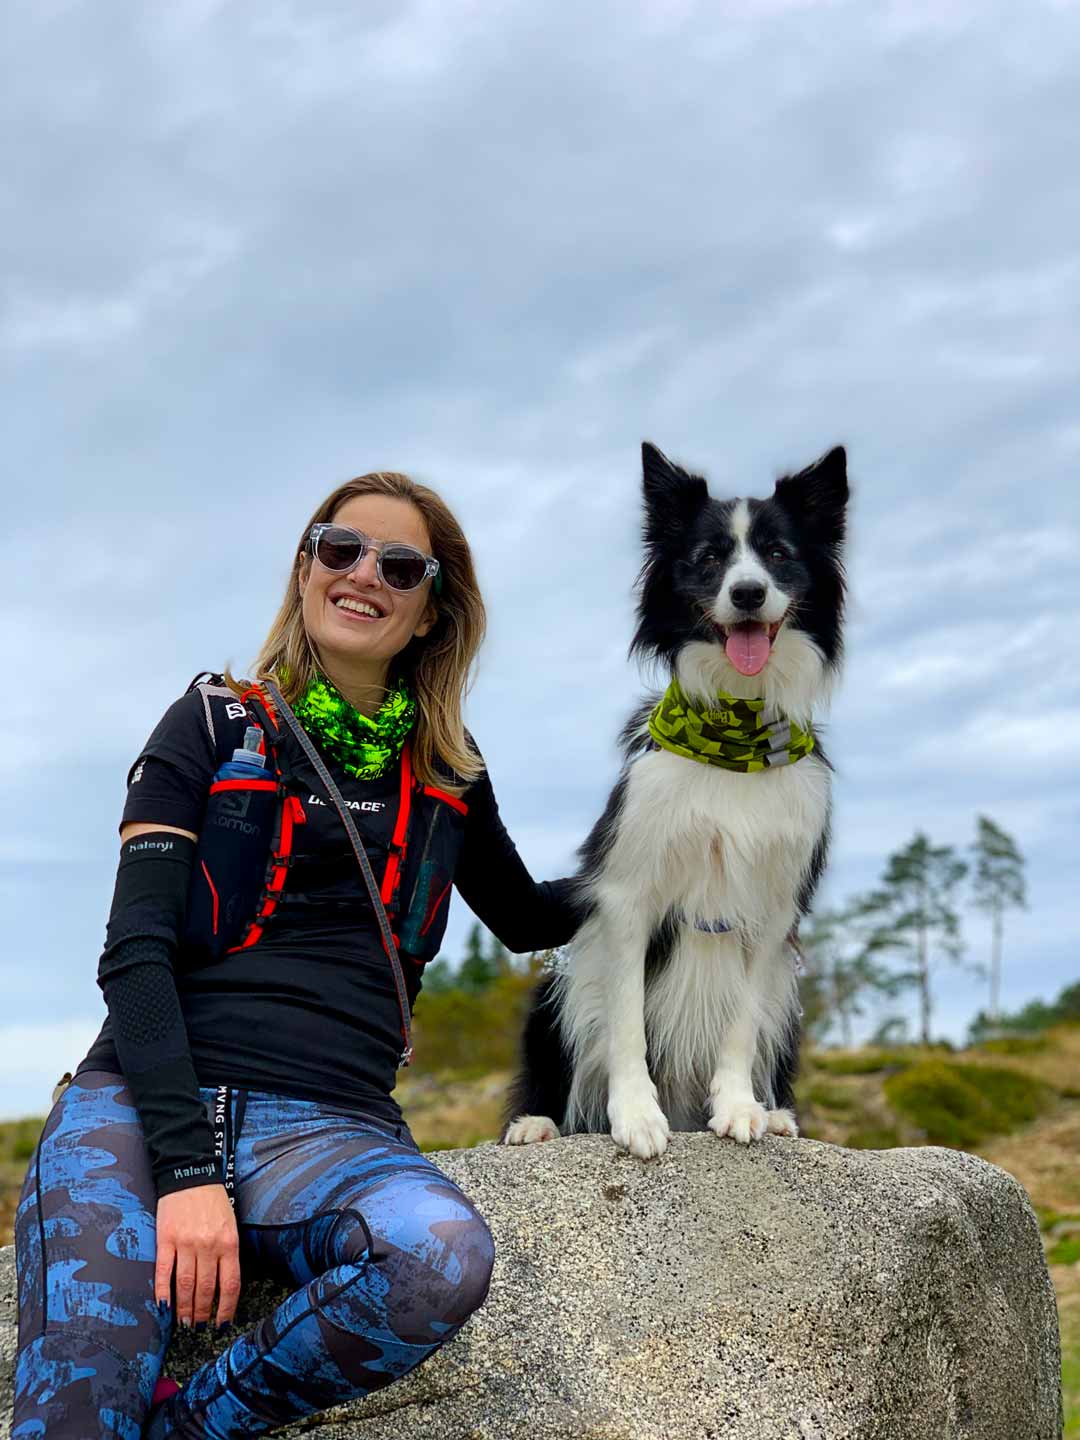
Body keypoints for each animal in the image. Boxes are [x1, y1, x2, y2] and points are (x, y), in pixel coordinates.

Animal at [504, 437, 852, 1157]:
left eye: (779, 553)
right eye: (709, 557)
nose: (747, 593)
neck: (736, 738)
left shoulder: (774, 909)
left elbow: (740, 1024)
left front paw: (741, 1107)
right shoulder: (627, 894)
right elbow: (628, 1022)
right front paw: (636, 1115)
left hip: (789, 1003)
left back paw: (779, 1112)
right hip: (555, 993)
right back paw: (536, 1123)